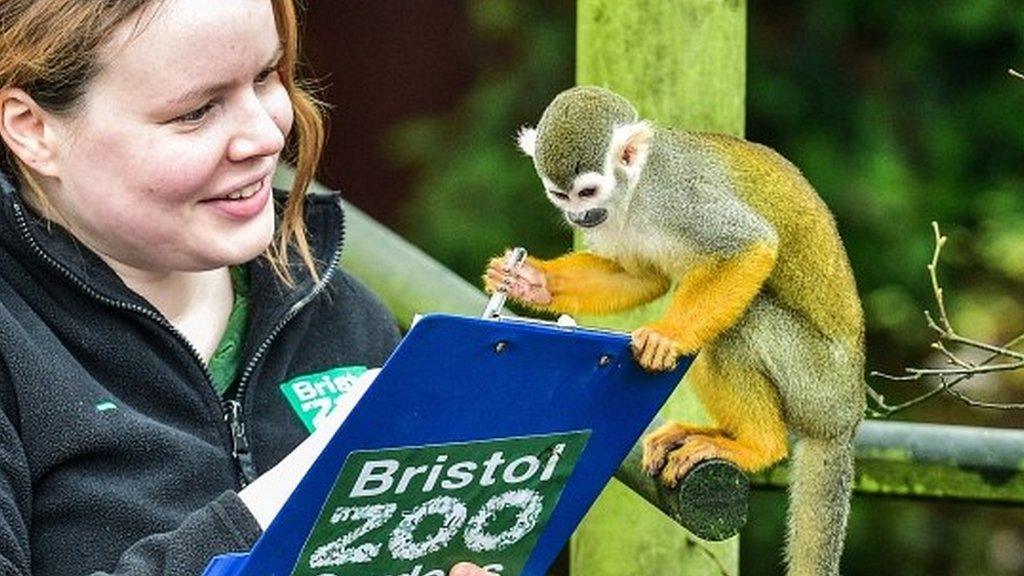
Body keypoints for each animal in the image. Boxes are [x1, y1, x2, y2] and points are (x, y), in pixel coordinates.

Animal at [485, 86, 864, 573]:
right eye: (561, 195)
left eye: (587, 191)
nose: (580, 218)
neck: (634, 192)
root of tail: (847, 417)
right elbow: (639, 276)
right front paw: (531, 280)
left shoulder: (680, 196)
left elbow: (750, 247)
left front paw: (664, 337)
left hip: (817, 383)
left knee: (739, 325)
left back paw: (759, 446)